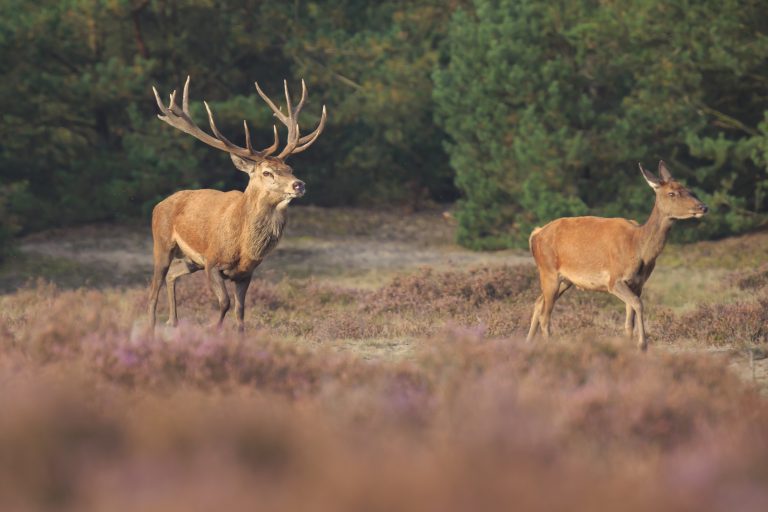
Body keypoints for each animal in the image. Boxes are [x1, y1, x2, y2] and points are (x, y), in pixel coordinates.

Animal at [148, 78, 328, 330]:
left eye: (290, 168)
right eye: (267, 172)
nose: (299, 185)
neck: (243, 247)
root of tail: (159, 205)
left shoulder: (246, 273)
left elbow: (241, 312)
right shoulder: (212, 261)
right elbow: (224, 303)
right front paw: (213, 329)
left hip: (191, 260)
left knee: (173, 274)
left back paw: (173, 321)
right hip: (162, 242)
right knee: (153, 288)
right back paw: (151, 328)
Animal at [528, 162, 708, 350]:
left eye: (689, 190)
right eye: (671, 193)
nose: (703, 207)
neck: (638, 248)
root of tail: (535, 234)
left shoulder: (637, 283)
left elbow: (629, 321)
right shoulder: (614, 280)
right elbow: (638, 304)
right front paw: (642, 345)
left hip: (565, 280)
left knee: (538, 303)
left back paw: (527, 343)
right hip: (548, 271)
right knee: (545, 315)